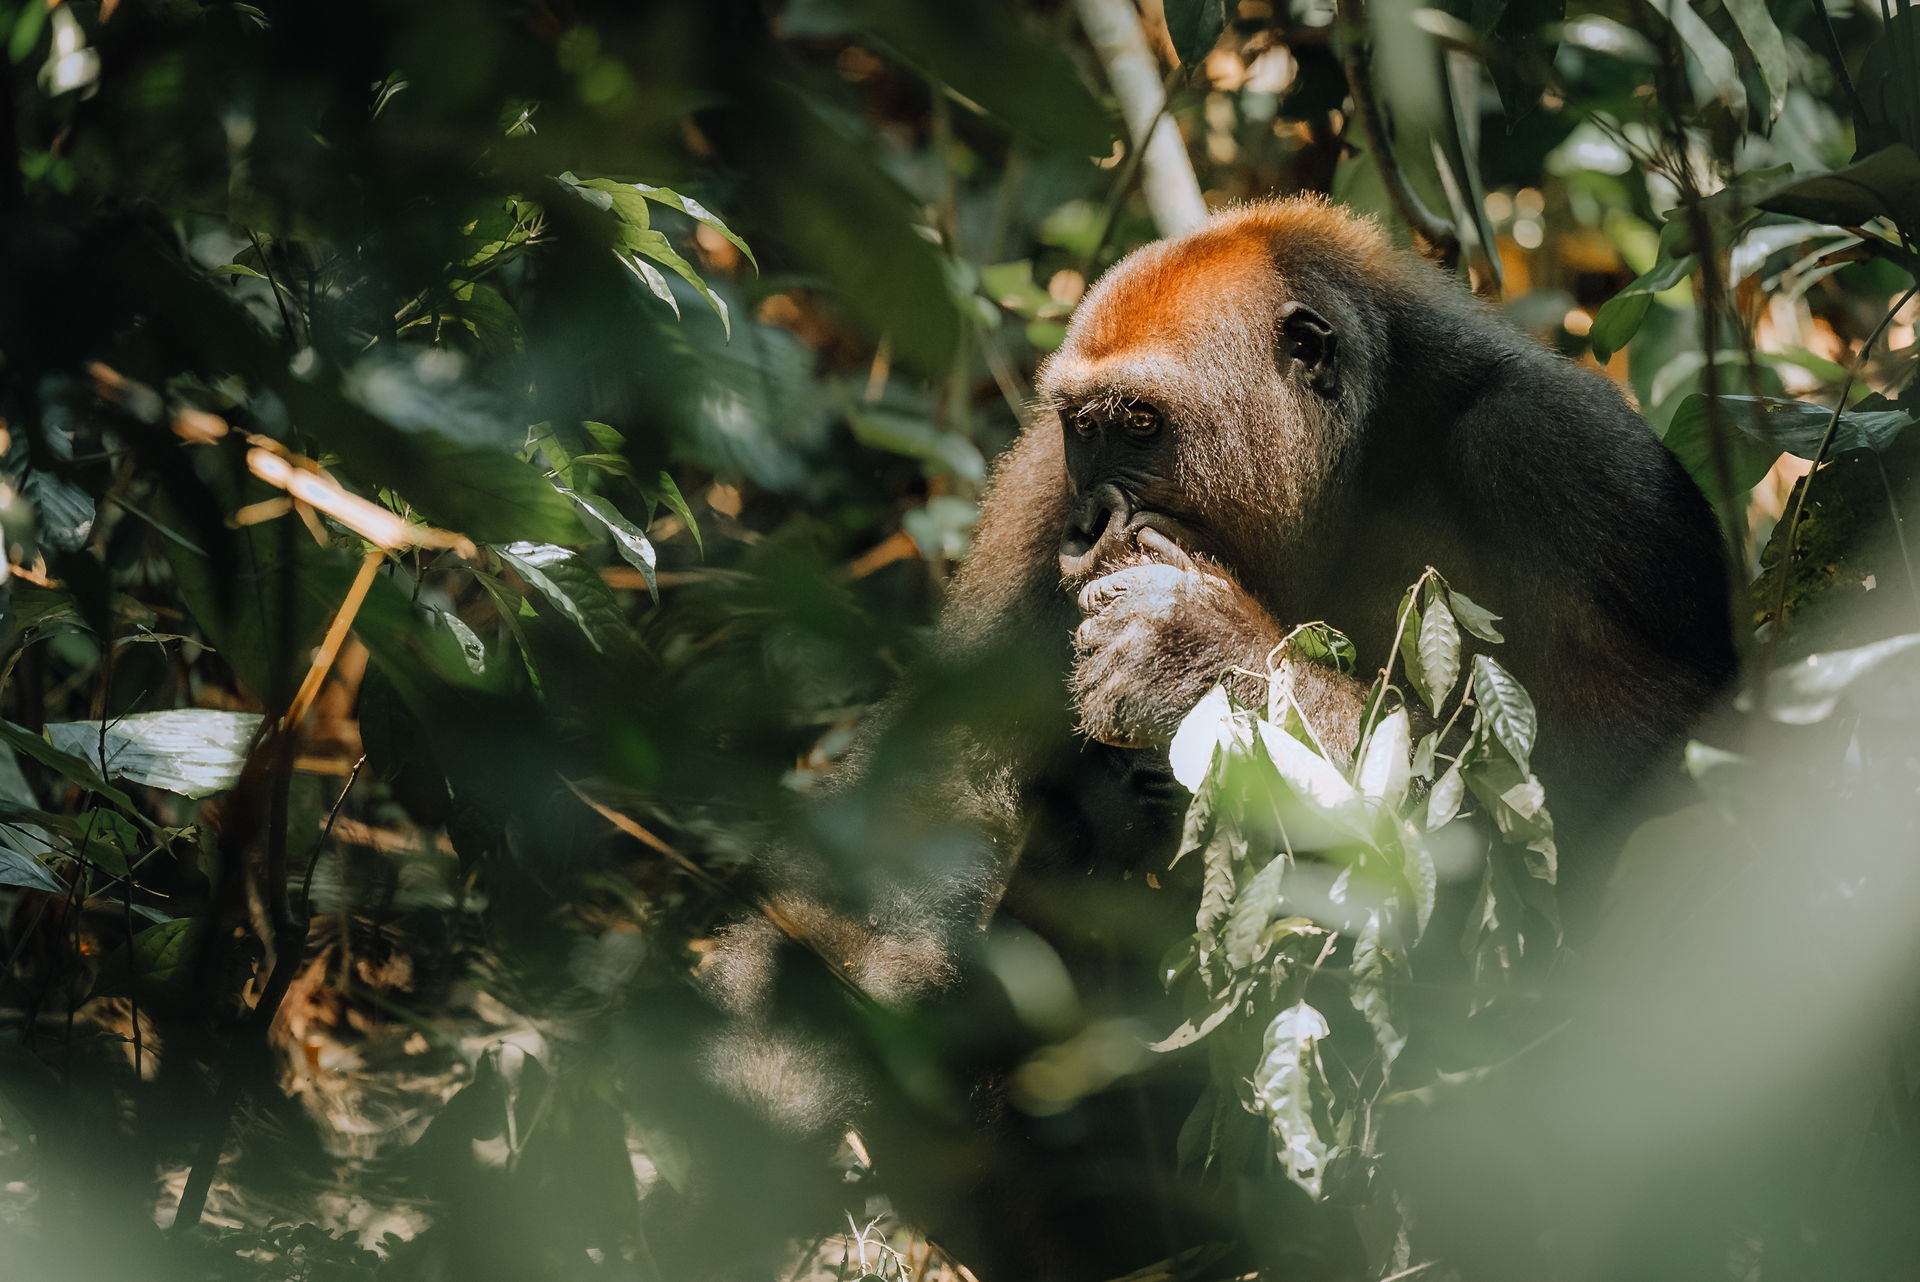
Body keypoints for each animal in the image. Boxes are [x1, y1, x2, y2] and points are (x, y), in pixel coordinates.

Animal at [666, 196, 1738, 1281]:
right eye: (1083, 430)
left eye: (1142, 423)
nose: (1088, 522)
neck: (1363, 455)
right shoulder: (1036, 486)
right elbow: (936, 801)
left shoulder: (1575, 465)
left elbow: (1589, 813)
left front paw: (1199, 652)